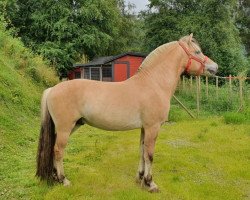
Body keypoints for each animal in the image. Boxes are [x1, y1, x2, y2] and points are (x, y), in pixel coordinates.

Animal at [36, 34, 218, 192]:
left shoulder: (145, 128)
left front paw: (140, 178)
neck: (154, 83)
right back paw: (63, 180)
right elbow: (150, 154)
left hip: (70, 126)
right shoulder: (153, 127)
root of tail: (53, 89)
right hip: (65, 128)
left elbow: (142, 151)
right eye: (197, 52)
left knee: (53, 149)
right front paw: (150, 183)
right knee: (58, 150)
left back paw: (54, 177)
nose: (215, 67)